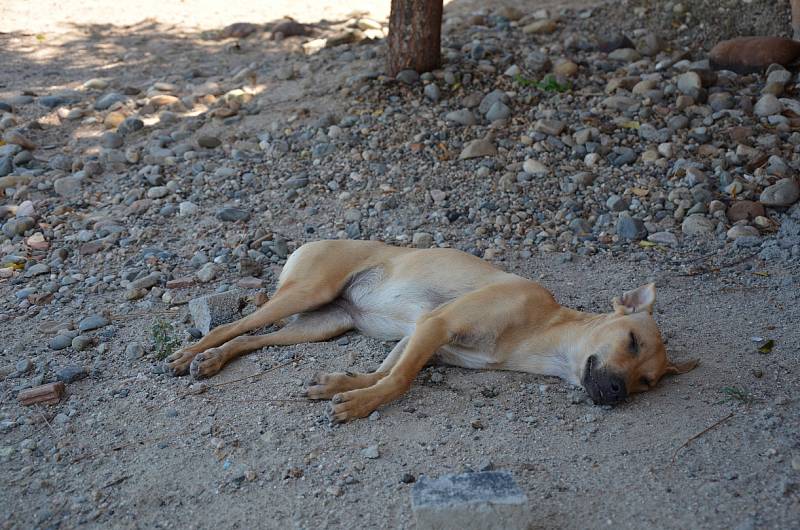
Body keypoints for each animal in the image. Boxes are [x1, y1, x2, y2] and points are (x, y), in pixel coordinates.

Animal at [166, 239, 696, 420]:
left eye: (647, 382)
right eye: (630, 341)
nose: (617, 392)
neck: (540, 330)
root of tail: (312, 240)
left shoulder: (422, 335)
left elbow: (384, 370)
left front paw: (342, 386)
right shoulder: (437, 325)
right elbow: (399, 380)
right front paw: (360, 405)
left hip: (322, 325)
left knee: (250, 338)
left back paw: (213, 360)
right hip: (306, 294)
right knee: (234, 324)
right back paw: (192, 354)